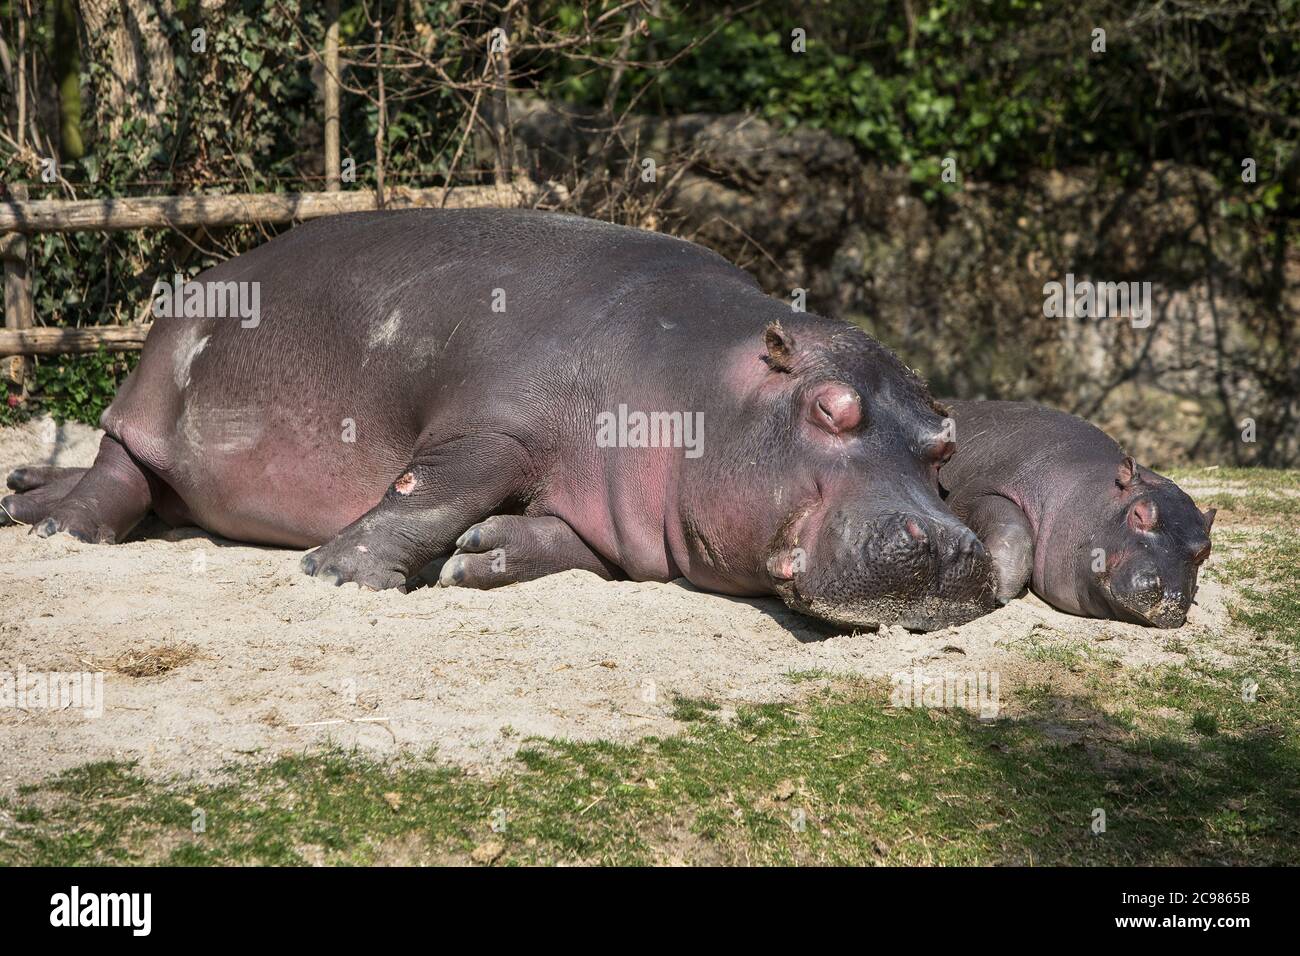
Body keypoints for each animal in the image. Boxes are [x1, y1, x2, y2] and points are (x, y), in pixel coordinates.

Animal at [2, 209, 996, 630]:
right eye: (831, 409)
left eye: (945, 443)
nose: (954, 546)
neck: (702, 382)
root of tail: (199, 282)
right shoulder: (492, 425)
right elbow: (430, 488)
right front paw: (338, 574)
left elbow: (553, 540)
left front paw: (483, 556)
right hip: (151, 398)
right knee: (117, 466)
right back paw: (60, 528)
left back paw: (21, 495)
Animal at [938, 400, 1215, 628]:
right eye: (1139, 514)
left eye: (1205, 551)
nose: (1170, 596)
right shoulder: (976, 492)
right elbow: (1014, 532)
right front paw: (999, 591)